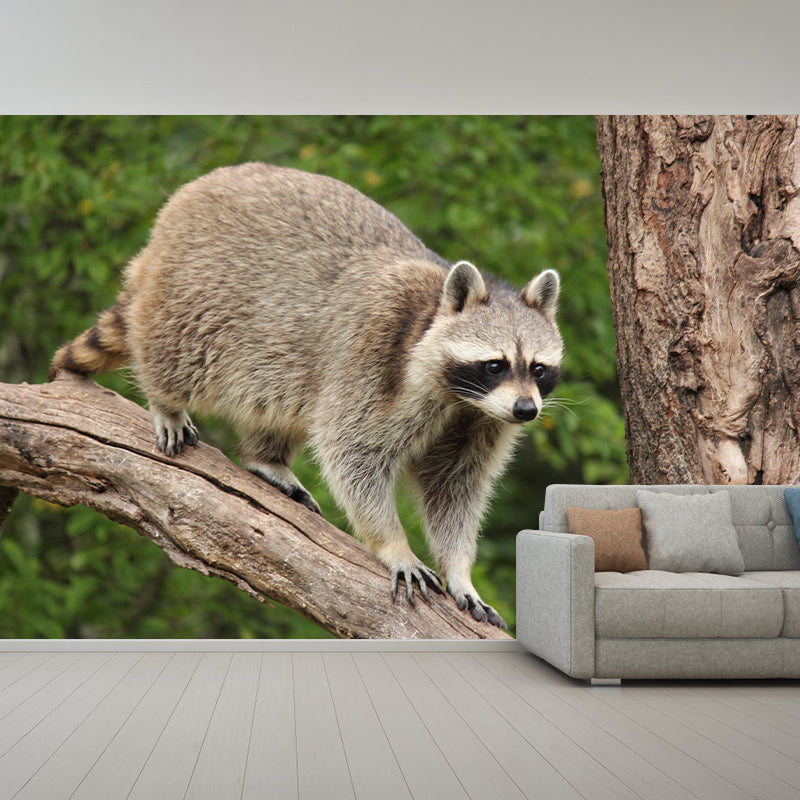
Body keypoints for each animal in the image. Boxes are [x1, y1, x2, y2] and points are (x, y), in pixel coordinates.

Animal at [50, 163, 563, 629]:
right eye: (495, 364)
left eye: (538, 369)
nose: (526, 410)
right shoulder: (370, 361)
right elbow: (354, 456)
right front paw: (393, 544)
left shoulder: (480, 421)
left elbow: (455, 488)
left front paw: (460, 571)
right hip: (200, 292)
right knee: (178, 353)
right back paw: (166, 399)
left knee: (282, 401)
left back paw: (266, 456)